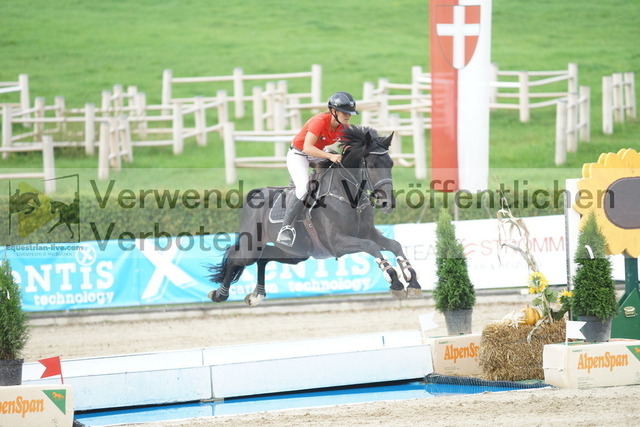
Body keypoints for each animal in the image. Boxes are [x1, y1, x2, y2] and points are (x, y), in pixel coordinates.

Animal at [208, 125, 422, 306]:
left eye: (391, 163)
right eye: (370, 165)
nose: (388, 203)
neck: (349, 196)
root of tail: (256, 193)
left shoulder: (367, 233)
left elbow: (394, 245)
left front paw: (411, 279)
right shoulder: (337, 243)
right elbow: (371, 246)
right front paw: (394, 279)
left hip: (296, 253)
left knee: (263, 258)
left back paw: (257, 295)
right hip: (252, 246)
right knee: (236, 257)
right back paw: (220, 294)